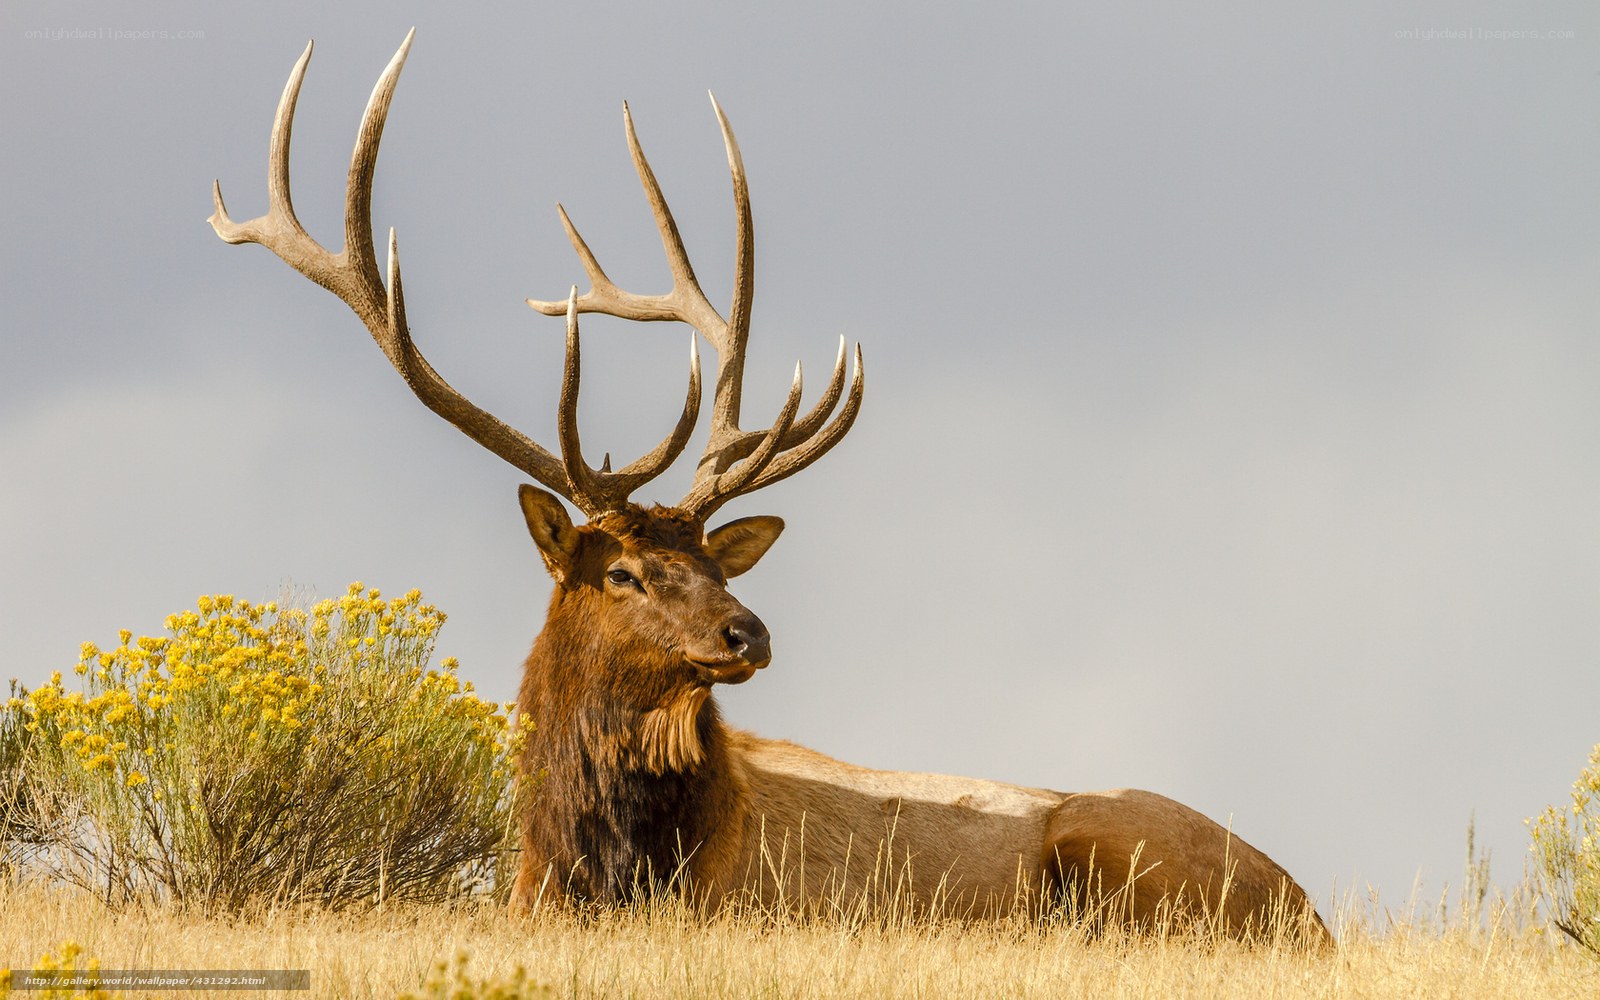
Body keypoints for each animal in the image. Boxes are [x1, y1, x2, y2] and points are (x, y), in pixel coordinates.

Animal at [210, 30, 1328, 942]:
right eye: (621, 571)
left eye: (716, 562)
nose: (747, 633)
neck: (597, 867)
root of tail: (1308, 908)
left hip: (1116, 845)